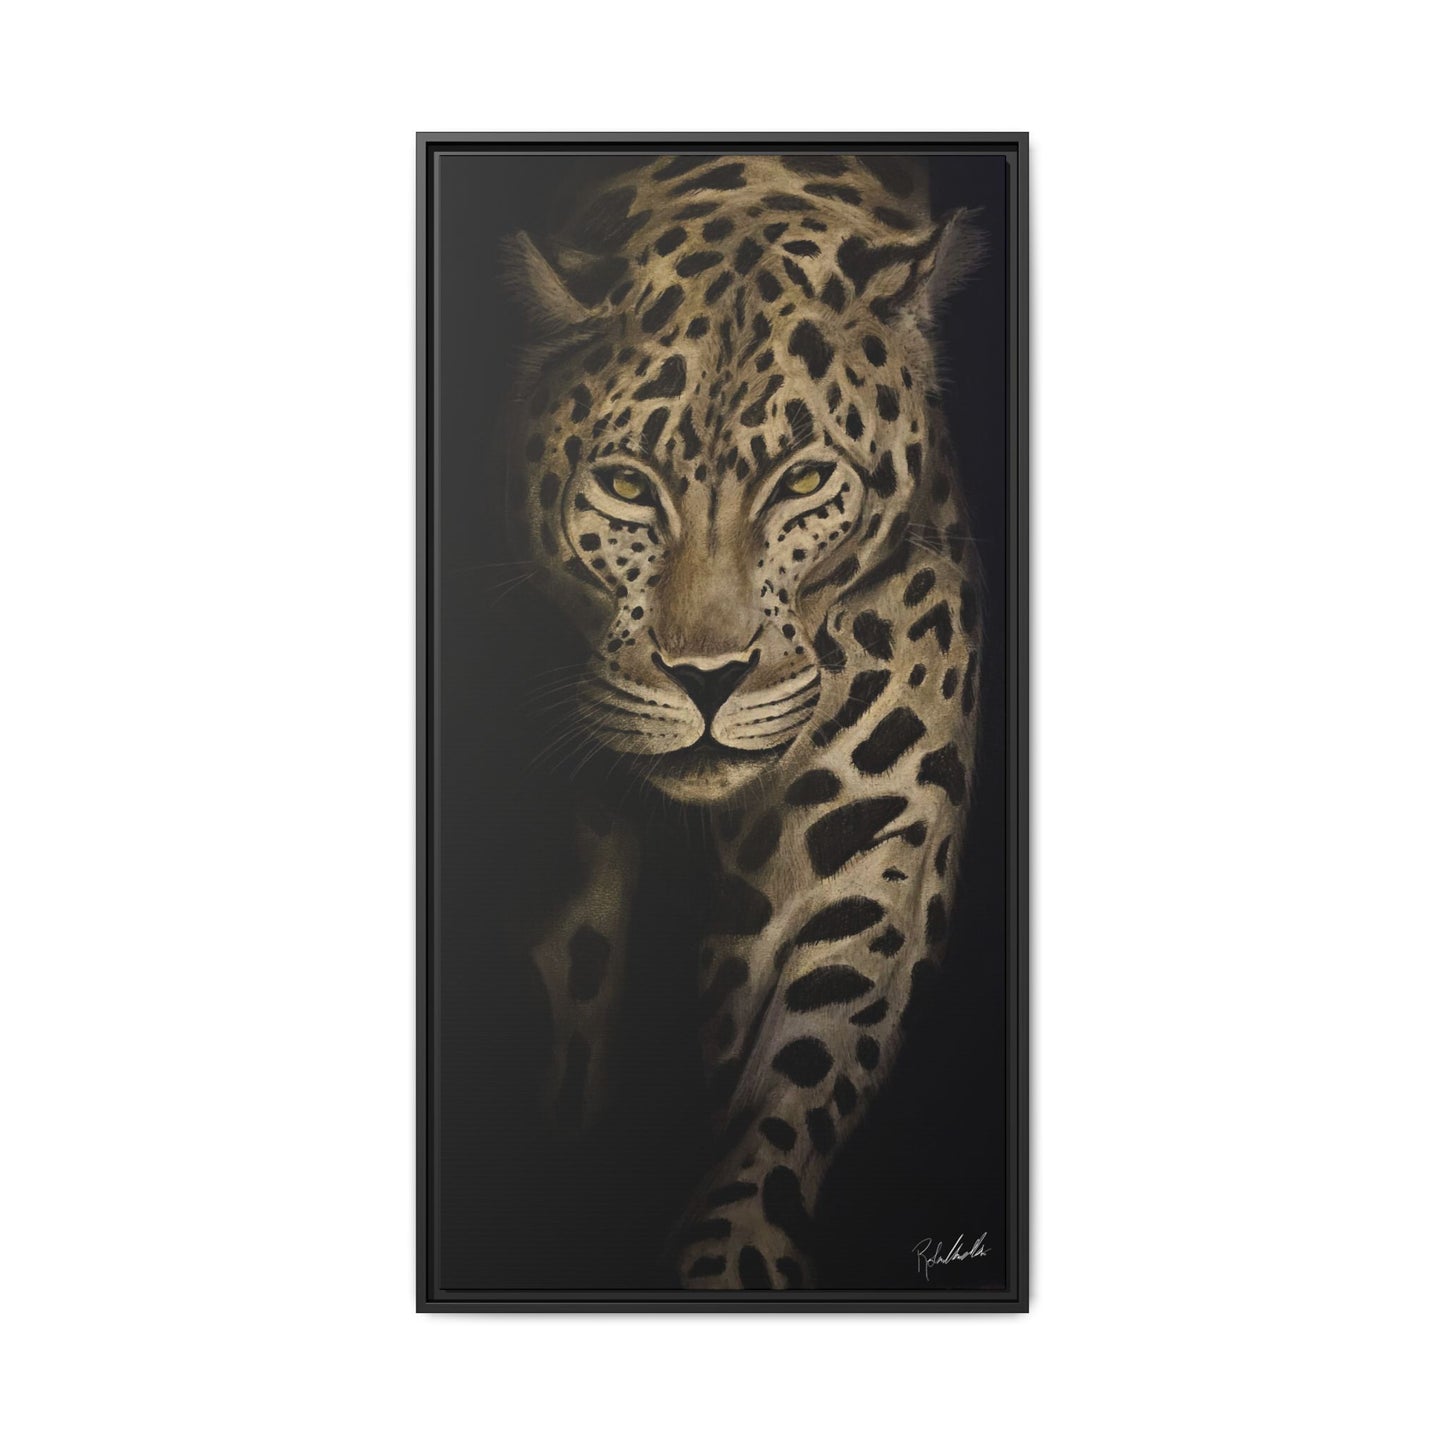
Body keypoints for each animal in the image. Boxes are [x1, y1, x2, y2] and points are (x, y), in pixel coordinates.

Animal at [501, 153, 985, 1290]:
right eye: (625, 484)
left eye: (802, 479)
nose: (707, 679)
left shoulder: (867, 849)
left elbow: (796, 1078)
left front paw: (730, 1257)